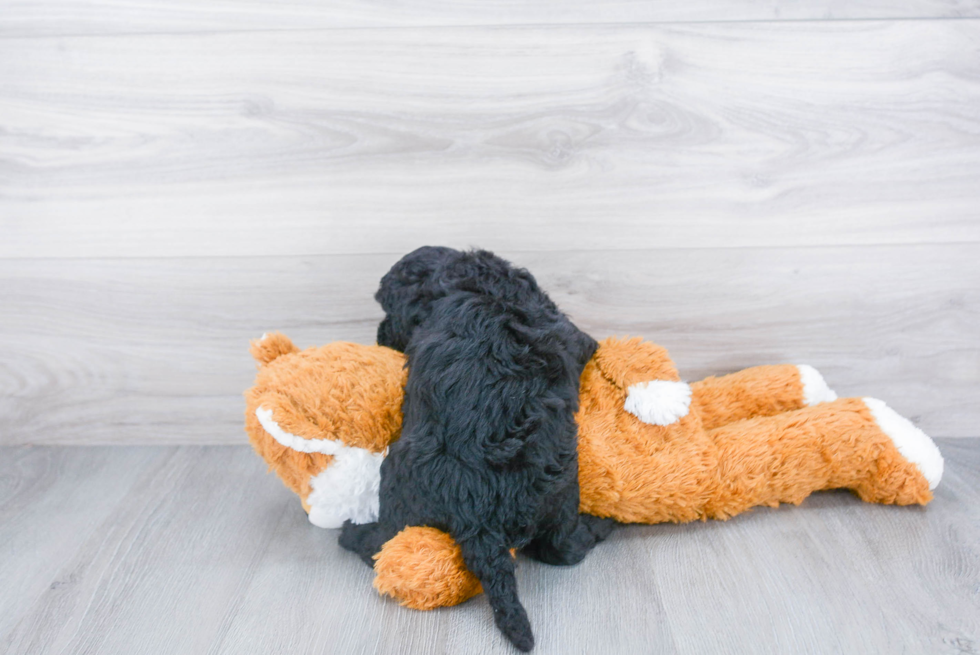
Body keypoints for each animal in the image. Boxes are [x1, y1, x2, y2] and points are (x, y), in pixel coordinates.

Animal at [340, 250, 608, 652]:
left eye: (387, 309)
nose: (379, 335)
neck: (481, 288)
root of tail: (478, 515)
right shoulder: (571, 333)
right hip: (561, 494)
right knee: (563, 548)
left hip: (399, 490)